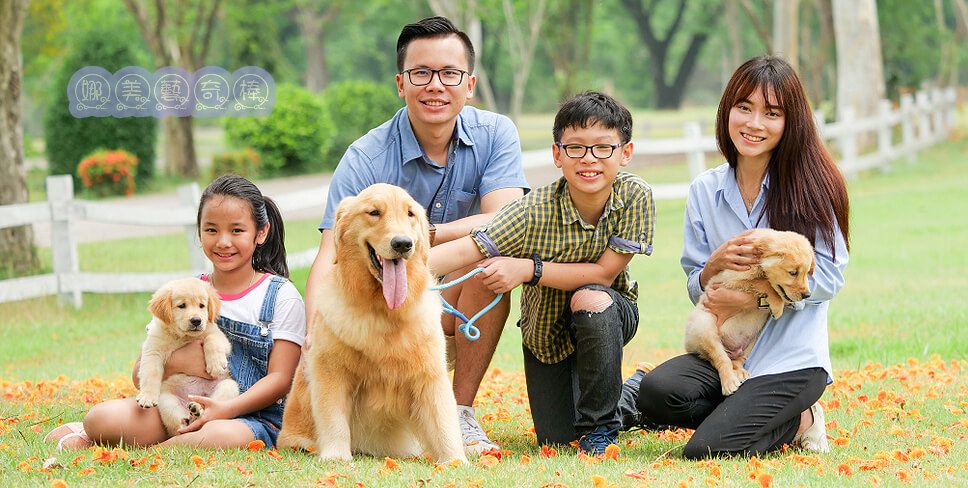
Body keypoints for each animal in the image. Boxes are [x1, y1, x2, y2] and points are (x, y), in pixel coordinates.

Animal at [136, 278, 240, 434]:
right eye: (182, 306)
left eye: (202, 306)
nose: (196, 320)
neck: (183, 336)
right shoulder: (153, 350)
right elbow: (150, 373)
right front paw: (147, 397)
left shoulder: (219, 336)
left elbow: (211, 339)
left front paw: (215, 365)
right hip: (166, 401)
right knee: (179, 427)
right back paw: (192, 415)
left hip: (229, 386)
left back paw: (197, 410)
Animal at [278, 181, 466, 464]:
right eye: (374, 212)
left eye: (410, 214)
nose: (402, 244)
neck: (383, 311)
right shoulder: (331, 370)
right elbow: (333, 418)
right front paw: (336, 457)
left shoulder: (430, 373)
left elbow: (443, 420)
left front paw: (455, 460)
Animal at [684, 230, 812, 396]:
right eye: (793, 273)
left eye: (807, 273)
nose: (807, 295)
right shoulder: (731, 280)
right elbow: (763, 283)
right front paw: (777, 305)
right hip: (704, 326)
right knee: (720, 358)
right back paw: (729, 383)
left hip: (751, 341)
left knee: (735, 360)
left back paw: (739, 372)